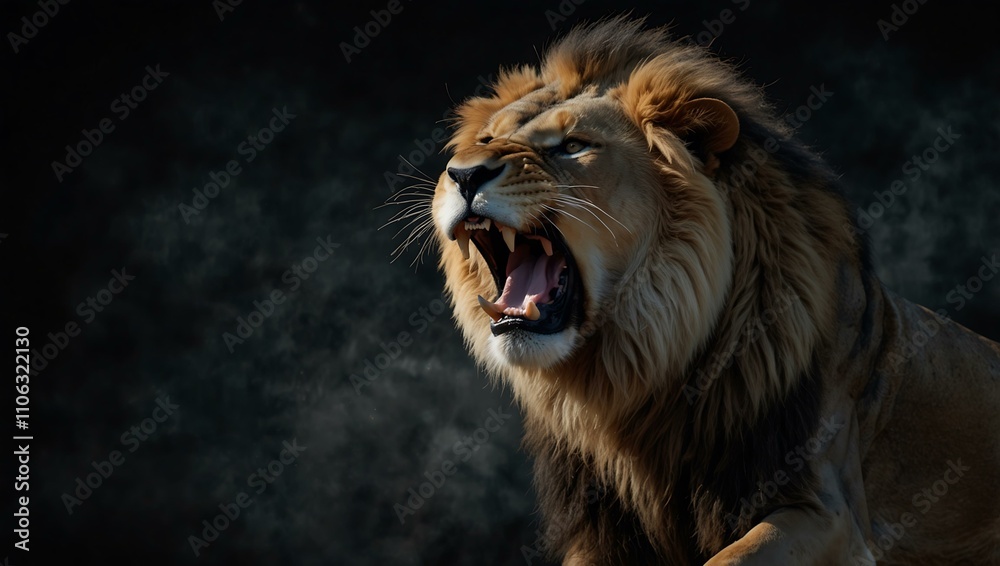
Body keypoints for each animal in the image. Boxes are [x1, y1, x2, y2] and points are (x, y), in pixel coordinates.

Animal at [420, 17, 1000, 565]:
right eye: (485, 142)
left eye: (572, 146)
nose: (463, 174)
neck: (637, 374)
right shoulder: (600, 527)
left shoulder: (827, 510)